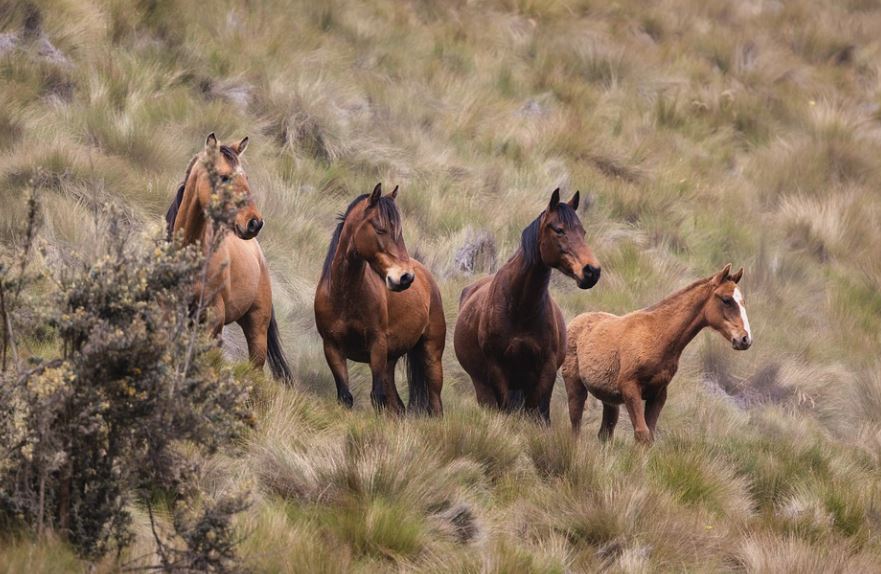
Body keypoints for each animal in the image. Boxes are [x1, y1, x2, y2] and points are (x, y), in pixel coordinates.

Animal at [314, 183, 446, 415]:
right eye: (380, 229)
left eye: (399, 232)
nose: (405, 277)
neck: (343, 297)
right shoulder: (332, 348)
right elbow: (346, 397)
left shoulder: (377, 345)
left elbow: (377, 397)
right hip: (389, 363)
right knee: (397, 406)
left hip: (431, 356)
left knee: (436, 405)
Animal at [453, 188, 601, 423]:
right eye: (559, 230)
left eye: (583, 232)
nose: (592, 271)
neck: (520, 308)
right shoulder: (497, 368)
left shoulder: (546, 369)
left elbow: (535, 411)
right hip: (483, 385)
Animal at [561, 264, 752, 444]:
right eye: (726, 300)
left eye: (743, 301)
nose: (745, 339)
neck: (658, 336)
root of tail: (575, 321)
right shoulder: (630, 388)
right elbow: (642, 434)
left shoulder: (658, 394)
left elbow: (649, 436)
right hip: (575, 385)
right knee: (576, 426)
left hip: (609, 399)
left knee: (604, 433)